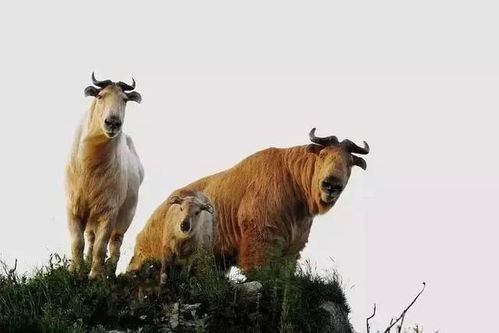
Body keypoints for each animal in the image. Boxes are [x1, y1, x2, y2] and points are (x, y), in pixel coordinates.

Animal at [65, 72, 144, 278]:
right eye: (100, 96)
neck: (90, 168)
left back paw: (110, 271)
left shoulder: (109, 210)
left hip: (126, 214)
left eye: (124, 99)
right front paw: (75, 272)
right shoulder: (73, 207)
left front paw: (95, 276)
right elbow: (77, 242)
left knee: (115, 242)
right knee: (90, 238)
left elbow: (101, 246)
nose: (113, 123)